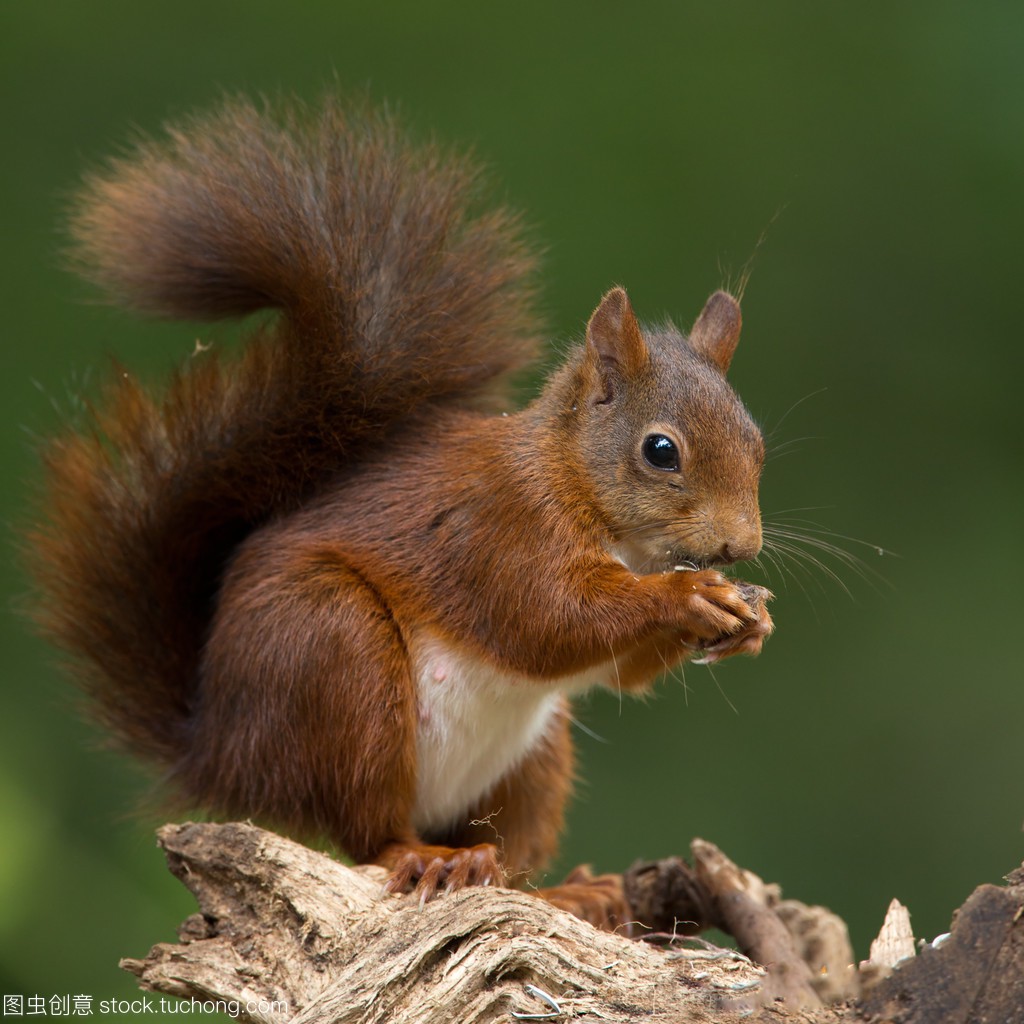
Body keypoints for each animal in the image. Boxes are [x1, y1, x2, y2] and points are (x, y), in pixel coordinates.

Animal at [28, 94, 770, 929]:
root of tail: (219, 752)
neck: (577, 486)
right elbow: (549, 619)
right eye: (660, 451)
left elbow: (616, 670)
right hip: (335, 659)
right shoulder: (499, 530)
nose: (742, 546)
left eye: (757, 440)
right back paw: (423, 857)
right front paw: (688, 595)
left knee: (503, 852)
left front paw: (751, 618)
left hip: (533, 758)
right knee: (365, 829)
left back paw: (556, 889)